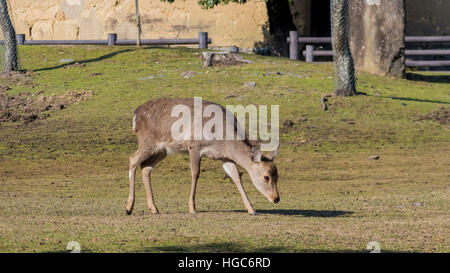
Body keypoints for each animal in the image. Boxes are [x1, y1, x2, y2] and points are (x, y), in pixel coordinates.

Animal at [126, 98, 280, 215]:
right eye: (266, 177)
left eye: (277, 176)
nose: (276, 198)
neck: (222, 140)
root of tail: (135, 116)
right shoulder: (194, 146)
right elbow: (195, 173)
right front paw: (192, 208)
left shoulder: (226, 157)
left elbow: (236, 177)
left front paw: (251, 209)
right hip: (148, 142)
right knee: (132, 159)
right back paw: (129, 208)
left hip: (162, 150)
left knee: (145, 167)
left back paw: (154, 208)